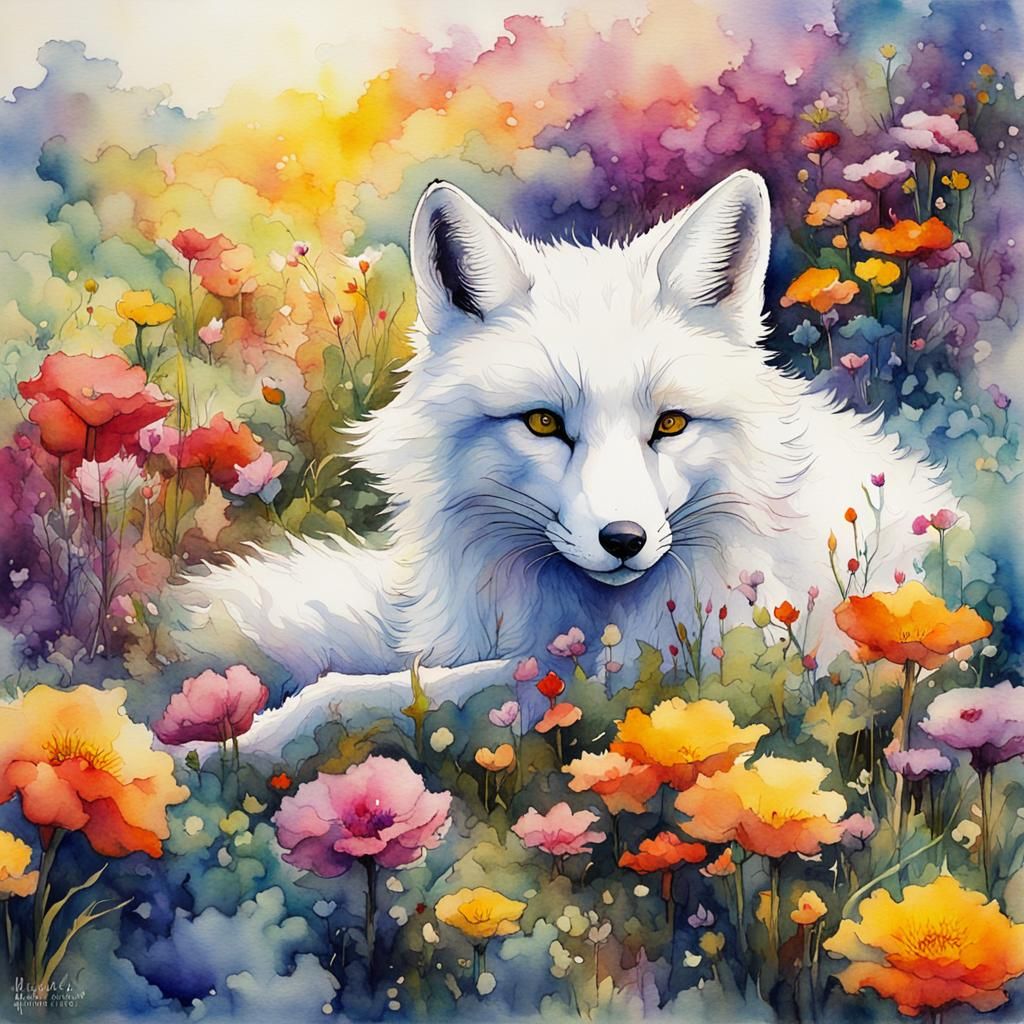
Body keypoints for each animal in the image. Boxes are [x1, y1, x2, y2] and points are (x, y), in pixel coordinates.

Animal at [174, 170, 954, 751]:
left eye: (671, 424)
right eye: (544, 423)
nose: (624, 541)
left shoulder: (620, 679)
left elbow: (367, 695)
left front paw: (222, 748)